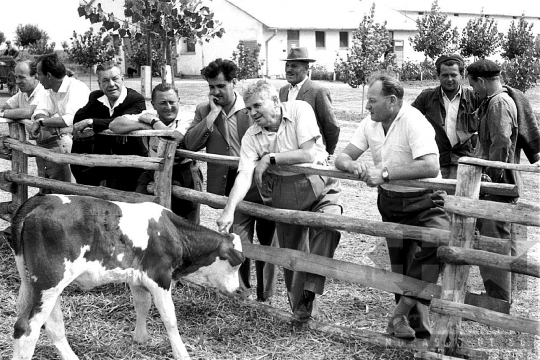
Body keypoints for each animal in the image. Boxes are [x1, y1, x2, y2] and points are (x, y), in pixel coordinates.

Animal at [10, 195, 244, 358]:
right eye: (236, 264)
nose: (237, 290)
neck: (173, 232)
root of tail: (40, 200)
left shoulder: (137, 279)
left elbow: (142, 305)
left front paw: (141, 338)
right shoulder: (159, 276)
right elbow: (170, 318)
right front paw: (181, 353)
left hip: (39, 286)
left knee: (52, 326)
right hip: (49, 282)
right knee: (27, 329)